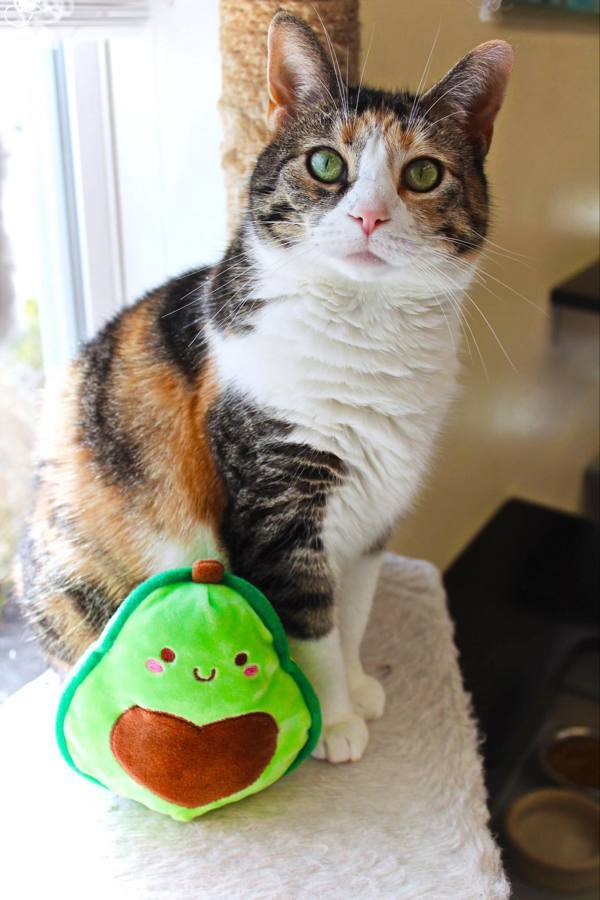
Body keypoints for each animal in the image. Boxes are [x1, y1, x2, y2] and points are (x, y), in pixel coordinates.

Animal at [16, 10, 510, 764]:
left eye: (424, 173)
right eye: (326, 163)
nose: (369, 217)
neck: (368, 335)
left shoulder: (376, 512)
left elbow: (354, 612)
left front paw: (358, 686)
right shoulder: (276, 506)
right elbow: (311, 624)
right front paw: (333, 723)